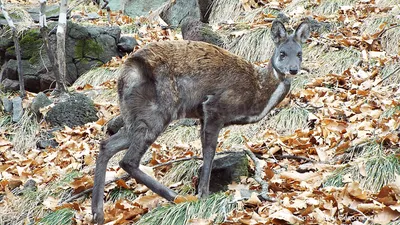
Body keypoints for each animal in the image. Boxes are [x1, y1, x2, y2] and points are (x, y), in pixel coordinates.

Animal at [92, 20, 310, 224]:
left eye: (299, 53)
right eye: (282, 53)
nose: (293, 70)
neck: (256, 93)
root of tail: (126, 73)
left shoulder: (203, 116)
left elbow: (206, 152)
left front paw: (202, 192)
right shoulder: (214, 107)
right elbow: (210, 152)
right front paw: (203, 194)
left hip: (134, 115)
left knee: (106, 145)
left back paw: (97, 214)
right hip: (157, 111)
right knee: (128, 159)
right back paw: (175, 196)